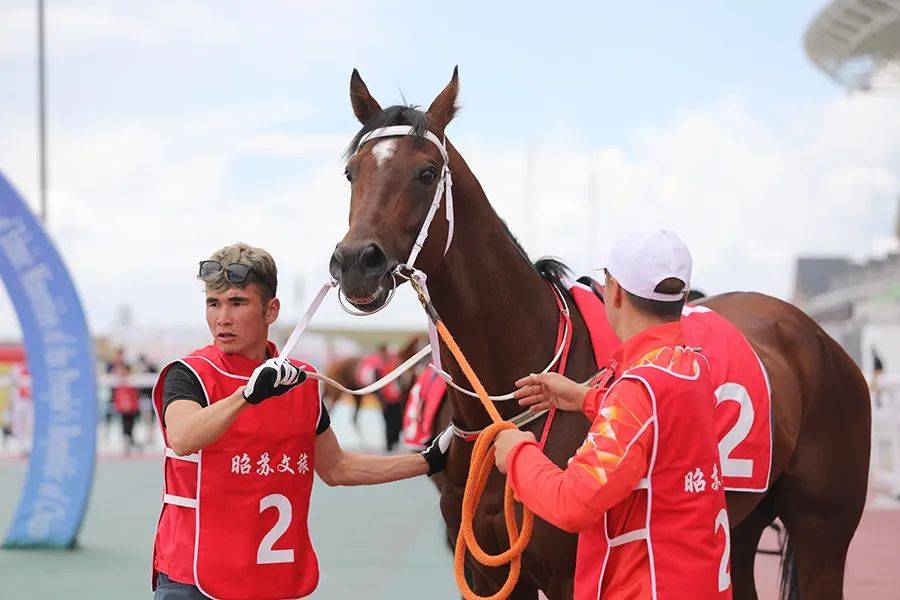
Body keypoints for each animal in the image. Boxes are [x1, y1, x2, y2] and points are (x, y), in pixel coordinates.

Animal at [326, 68, 868, 596]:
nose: (356, 262)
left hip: (823, 529)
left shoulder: (571, 573)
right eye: (353, 172)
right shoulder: (489, 572)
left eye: (426, 173)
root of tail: (817, 337)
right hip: (741, 522)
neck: (504, 407)